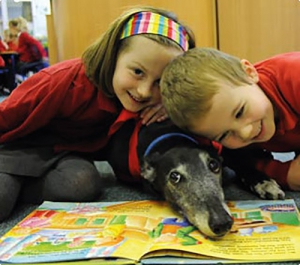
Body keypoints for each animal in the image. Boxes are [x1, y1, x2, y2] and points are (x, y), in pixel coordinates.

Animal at [105, 119, 284, 237]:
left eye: (213, 165)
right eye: (174, 176)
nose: (222, 223)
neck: (169, 137)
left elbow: (243, 163)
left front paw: (265, 183)